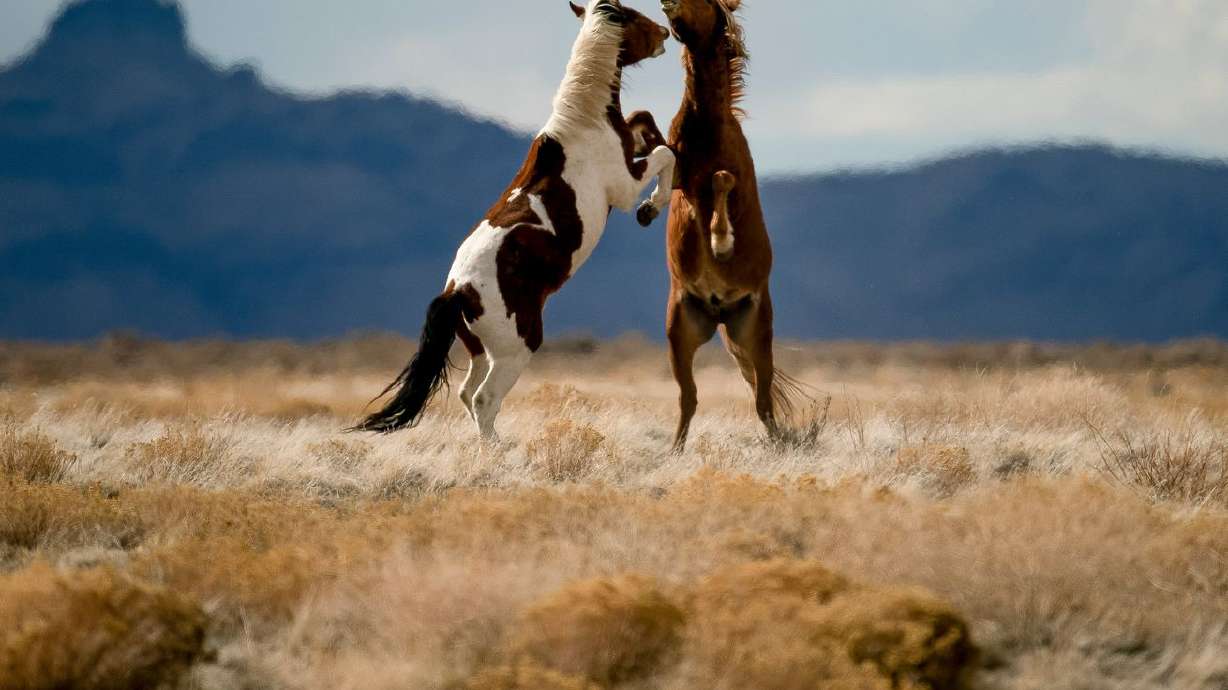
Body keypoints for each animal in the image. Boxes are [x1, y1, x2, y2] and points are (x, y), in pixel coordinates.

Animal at [353, 0, 675, 440]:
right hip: (516, 348)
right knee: (484, 399)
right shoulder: (624, 186)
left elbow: (646, 124)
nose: (665, 33)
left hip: (480, 351)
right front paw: (650, 210)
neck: (583, 125)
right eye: (635, 16)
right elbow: (664, 155)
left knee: (467, 394)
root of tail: (457, 293)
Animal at [659, 0, 798, 451]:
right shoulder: (679, 173)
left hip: (755, 334)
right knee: (689, 398)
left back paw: (781, 442)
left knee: (763, 399)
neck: (706, 126)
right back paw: (675, 451)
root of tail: (719, 311)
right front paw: (648, 209)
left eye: (704, 2)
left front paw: (721, 242)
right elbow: (663, 172)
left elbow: (722, 181)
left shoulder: (734, 178)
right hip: (680, 332)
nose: (667, 6)